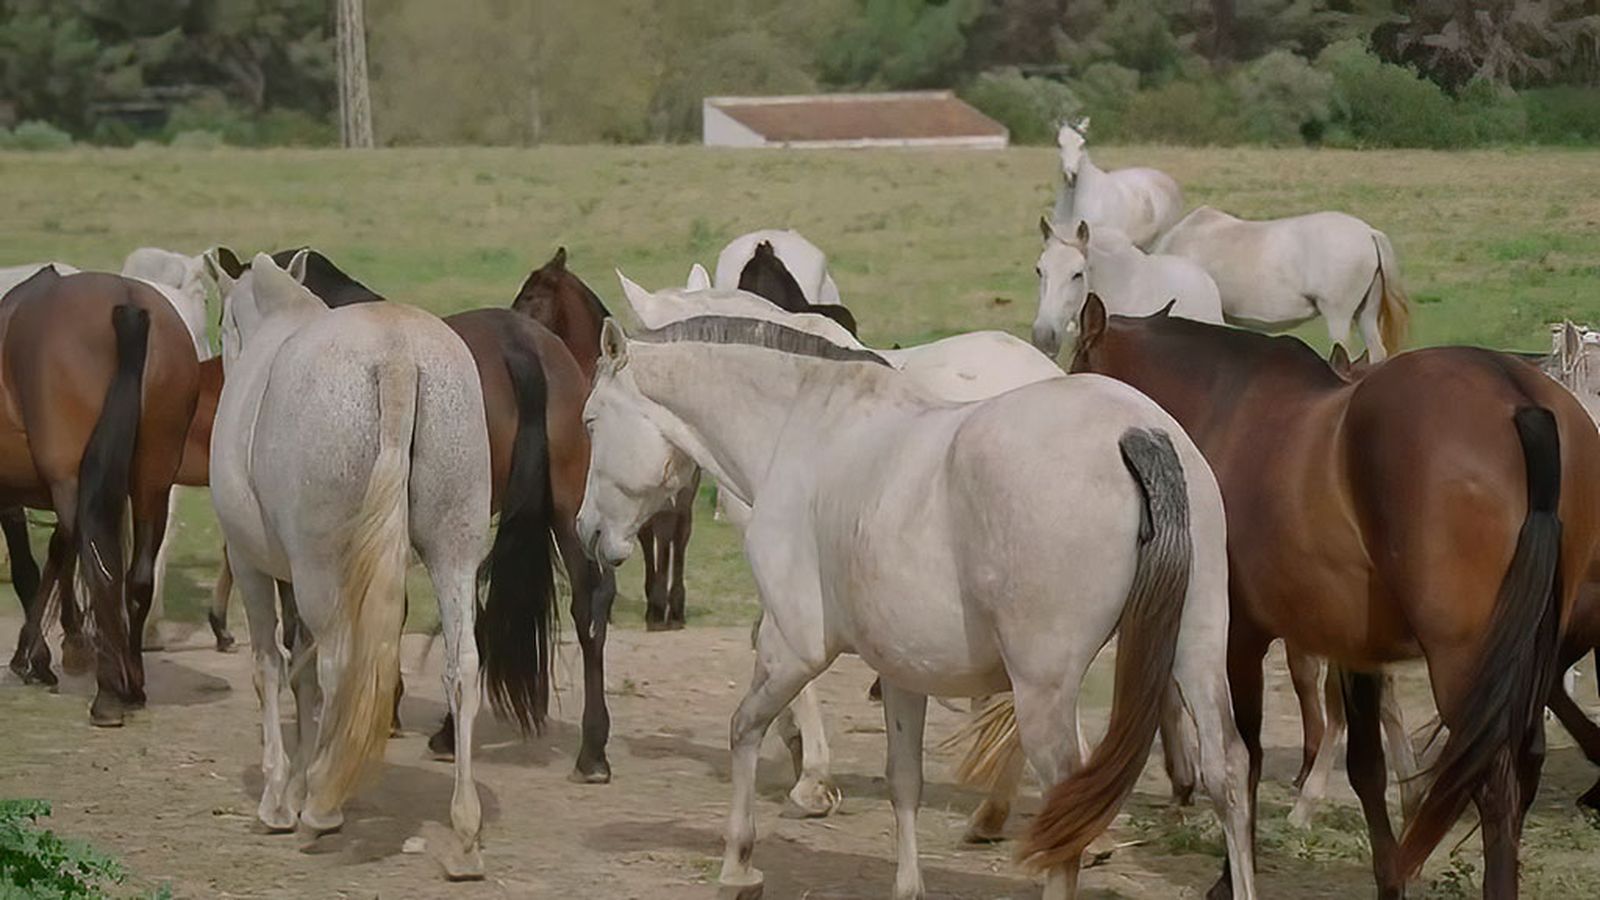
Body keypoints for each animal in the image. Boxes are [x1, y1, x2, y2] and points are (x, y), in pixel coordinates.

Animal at [0, 267, 201, 727]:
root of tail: (128, 305)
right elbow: (58, 556)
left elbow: (31, 566)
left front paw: (38, 657)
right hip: (152, 482)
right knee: (136, 576)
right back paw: (133, 683)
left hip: (79, 483)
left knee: (98, 563)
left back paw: (109, 693)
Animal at [210, 252, 491, 878]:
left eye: (220, 326)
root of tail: (398, 356)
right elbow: (301, 676)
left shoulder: (252, 565)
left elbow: (273, 666)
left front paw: (279, 796)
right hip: (454, 552)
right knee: (462, 668)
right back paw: (463, 834)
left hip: (320, 567)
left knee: (339, 664)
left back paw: (319, 810)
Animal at [575, 315, 1255, 900]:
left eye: (589, 423)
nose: (586, 532)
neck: (802, 431)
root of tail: (1135, 433)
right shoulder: (902, 669)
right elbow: (904, 782)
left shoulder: (794, 647)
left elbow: (744, 728)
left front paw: (739, 866)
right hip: (1195, 652)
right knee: (1227, 773)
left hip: (1043, 690)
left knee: (1068, 806)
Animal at [1068, 297, 1600, 898]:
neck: (1228, 413)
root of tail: (1520, 396)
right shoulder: (1358, 650)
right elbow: (1366, 767)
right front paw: (1389, 877)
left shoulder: (1241, 639)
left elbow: (1246, 757)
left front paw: (1230, 876)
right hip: (1533, 654)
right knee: (1525, 766)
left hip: (1465, 663)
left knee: (1495, 786)